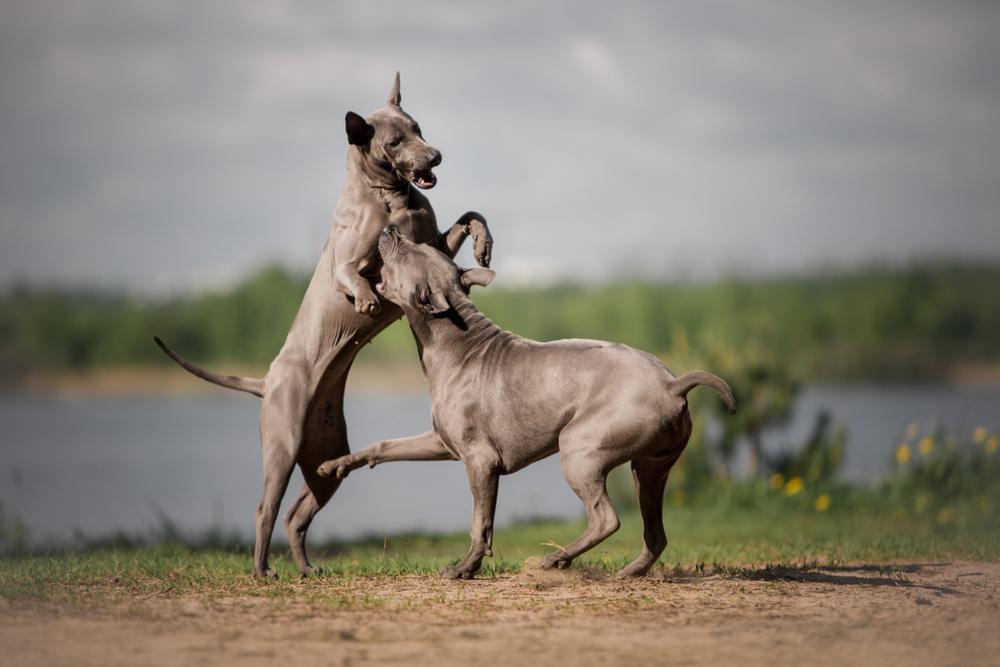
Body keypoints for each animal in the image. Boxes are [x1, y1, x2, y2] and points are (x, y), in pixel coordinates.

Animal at [155, 72, 492, 576]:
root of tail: (266, 380)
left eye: (418, 127)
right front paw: (368, 300)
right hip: (281, 445)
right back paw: (262, 570)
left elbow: (470, 215)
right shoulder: (348, 261)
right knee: (266, 509)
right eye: (395, 140)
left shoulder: (434, 245)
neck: (390, 197)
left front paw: (484, 243)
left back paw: (305, 568)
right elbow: (354, 275)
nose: (434, 156)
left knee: (297, 515)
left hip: (325, 457)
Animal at [318, 228, 736, 580]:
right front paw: (334, 465)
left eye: (407, 252)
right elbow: (384, 445)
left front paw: (463, 569)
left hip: (580, 448)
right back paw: (628, 572)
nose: (389, 230)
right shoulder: (441, 442)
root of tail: (672, 383)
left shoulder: (480, 461)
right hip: (651, 466)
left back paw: (556, 559)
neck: (456, 341)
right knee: (655, 533)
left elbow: (480, 523)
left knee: (606, 519)